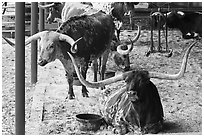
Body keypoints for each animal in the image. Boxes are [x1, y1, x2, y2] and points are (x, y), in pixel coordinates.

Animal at [67, 39, 197, 134]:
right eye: (126, 81)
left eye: (144, 81)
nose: (131, 93)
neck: (140, 113)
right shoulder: (118, 120)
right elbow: (121, 129)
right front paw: (112, 128)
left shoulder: (158, 123)